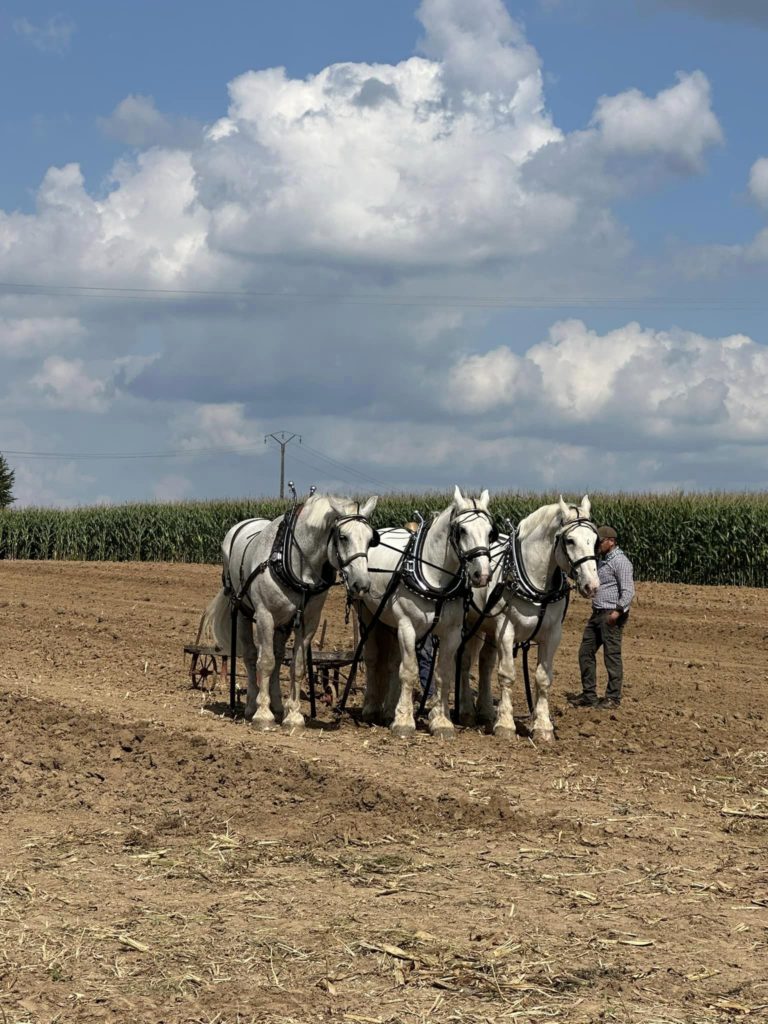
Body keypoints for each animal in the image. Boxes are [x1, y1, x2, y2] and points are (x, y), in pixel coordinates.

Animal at [199, 493, 376, 729]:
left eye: (370, 539)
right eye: (343, 536)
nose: (362, 584)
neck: (293, 562)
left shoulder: (308, 622)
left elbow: (296, 666)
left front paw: (293, 716)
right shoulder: (265, 616)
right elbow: (265, 662)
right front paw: (263, 715)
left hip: (283, 624)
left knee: (278, 655)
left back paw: (277, 706)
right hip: (243, 611)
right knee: (250, 656)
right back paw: (251, 706)